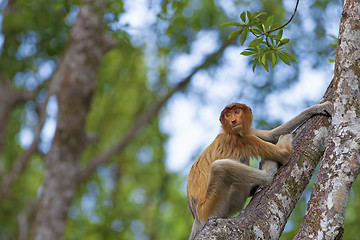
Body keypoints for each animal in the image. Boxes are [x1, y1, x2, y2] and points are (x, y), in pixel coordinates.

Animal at [188, 101, 332, 238]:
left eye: (237, 111)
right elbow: (283, 153)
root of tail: (196, 218)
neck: (228, 131)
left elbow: (271, 135)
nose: (233, 121)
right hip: (211, 208)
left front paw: (318, 108)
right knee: (220, 168)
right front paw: (285, 139)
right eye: (228, 115)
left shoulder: (247, 132)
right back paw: (267, 175)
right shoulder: (242, 139)